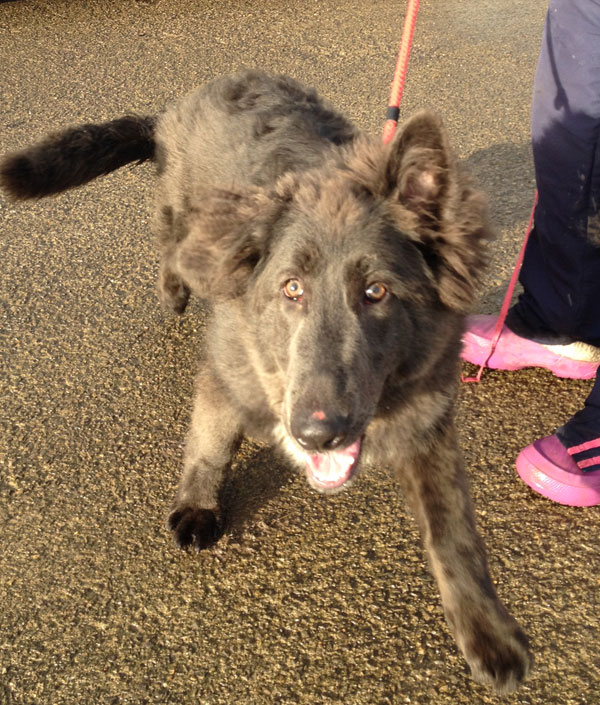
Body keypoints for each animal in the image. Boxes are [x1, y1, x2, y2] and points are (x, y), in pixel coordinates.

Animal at [0, 69, 532, 692]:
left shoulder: (430, 426)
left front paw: (488, 631)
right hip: (182, 223)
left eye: (376, 292)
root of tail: (176, 107)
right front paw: (198, 506)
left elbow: (455, 533)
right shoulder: (226, 373)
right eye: (291, 289)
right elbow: (209, 444)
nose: (318, 434)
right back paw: (173, 288)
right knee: (175, 252)